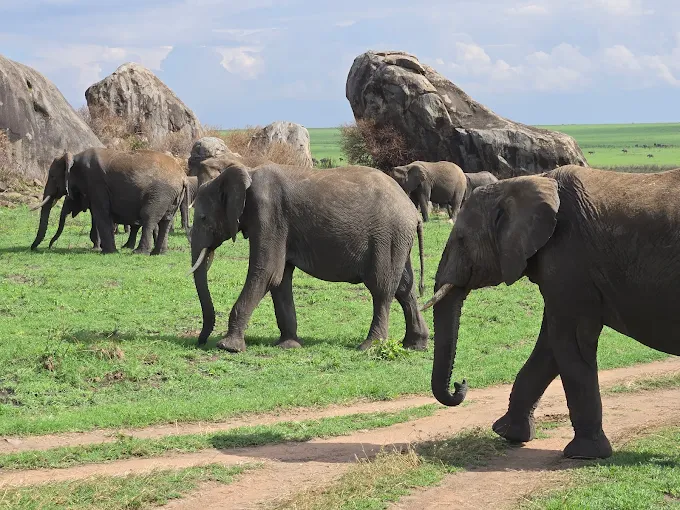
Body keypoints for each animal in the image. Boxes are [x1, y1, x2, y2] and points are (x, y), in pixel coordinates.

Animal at [31, 149, 187, 255]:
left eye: (52, 176)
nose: (35, 248)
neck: (75, 157)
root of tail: (183, 176)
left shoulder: (96, 182)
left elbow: (101, 213)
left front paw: (108, 252)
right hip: (172, 196)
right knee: (166, 220)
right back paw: (158, 253)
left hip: (160, 193)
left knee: (148, 217)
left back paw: (138, 252)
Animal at [188, 160, 429, 353]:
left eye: (203, 218)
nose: (201, 341)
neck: (247, 171)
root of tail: (412, 212)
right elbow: (280, 279)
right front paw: (288, 346)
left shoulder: (268, 215)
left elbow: (266, 272)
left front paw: (228, 347)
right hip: (398, 239)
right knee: (404, 288)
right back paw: (414, 345)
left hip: (387, 236)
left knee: (382, 289)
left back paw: (369, 347)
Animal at [422, 164, 680, 460]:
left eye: (462, 240)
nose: (460, 383)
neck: (524, 182)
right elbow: (548, 348)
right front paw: (508, 434)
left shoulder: (568, 255)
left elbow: (568, 341)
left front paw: (583, 454)